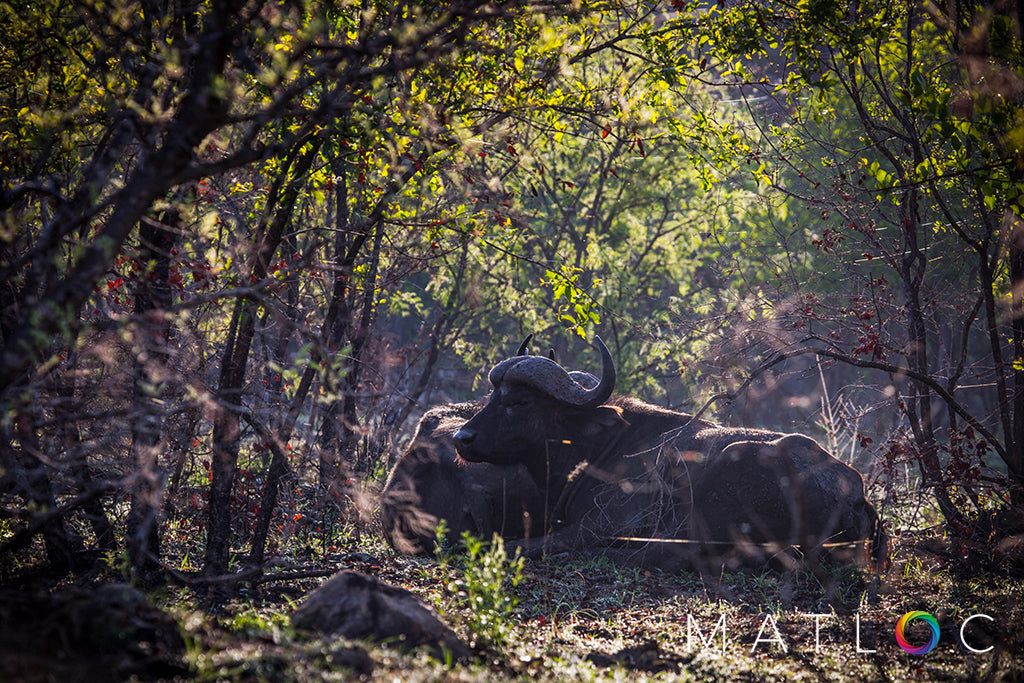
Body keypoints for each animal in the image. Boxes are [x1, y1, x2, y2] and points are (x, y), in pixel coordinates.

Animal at [452, 337, 884, 573]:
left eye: (521, 401)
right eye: (492, 394)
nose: (461, 438)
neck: (599, 449)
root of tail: (856, 492)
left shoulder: (598, 525)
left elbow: (521, 545)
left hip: (727, 470)